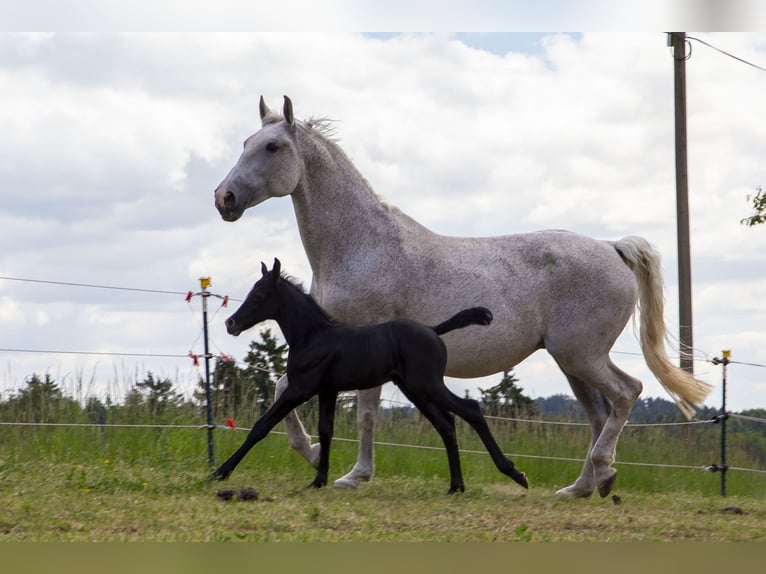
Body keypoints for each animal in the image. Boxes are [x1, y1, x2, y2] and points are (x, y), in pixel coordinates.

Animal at [211, 258, 529, 494]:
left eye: (260, 295)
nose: (231, 323)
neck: (313, 336)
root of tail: (433, 330)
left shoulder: (301, 389)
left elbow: (261, 426)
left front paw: (219, 472)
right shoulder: (328, 391)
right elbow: (326, 431)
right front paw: (318, 480)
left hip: (427, 385)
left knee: (471, 410)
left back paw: (515, 474)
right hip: (415, 389)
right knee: (447, 424)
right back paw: (456, 486)